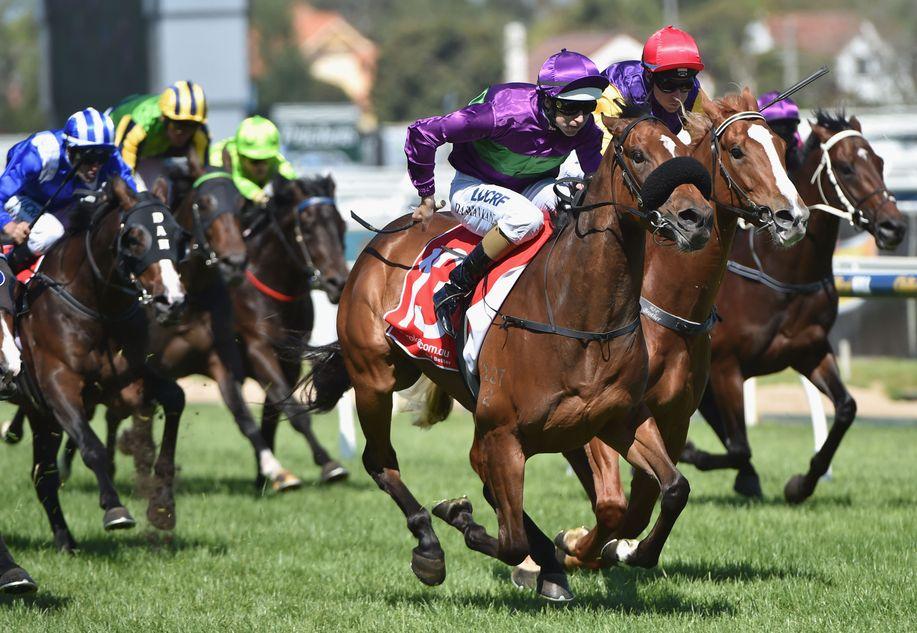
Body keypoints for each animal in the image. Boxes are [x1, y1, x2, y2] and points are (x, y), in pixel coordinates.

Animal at [17, 177, 186, 548]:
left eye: (179, 235)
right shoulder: (57, 382)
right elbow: (91, 446)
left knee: (43, 476)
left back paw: (65, 540)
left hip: (38, 413)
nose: (172, 301)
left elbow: (175, 398)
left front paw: (163, 506)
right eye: (133, 238)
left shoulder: (124, 378)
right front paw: (115, 508)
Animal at [300, 110, 716, 604]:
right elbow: (511, 537)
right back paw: (429, 546)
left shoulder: (621, 418)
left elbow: (670, 490)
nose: (697, 218)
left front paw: (631, 552)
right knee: (380, 462)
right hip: (375, 378)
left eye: (686, 153)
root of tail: (382, 240)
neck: (579, 315)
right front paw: (464, 521)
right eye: (637, 154)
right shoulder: (501, 433)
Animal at [676, 110, 904, 504]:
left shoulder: (809, 349)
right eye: (846, 168)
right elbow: (739, 446)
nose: (895, 226)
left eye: (879, 162)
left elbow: (847, 409)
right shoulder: (725, 366)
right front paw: (694, 454)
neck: (782, 274)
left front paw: (802, 484)